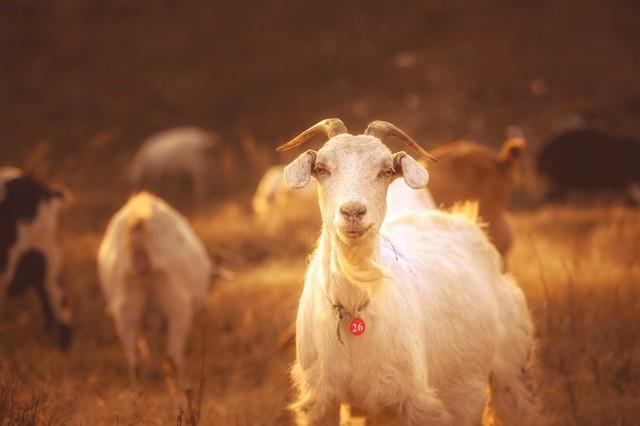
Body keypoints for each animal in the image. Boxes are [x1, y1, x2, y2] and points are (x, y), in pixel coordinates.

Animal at [280, 118, 536, 424]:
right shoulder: (321, 400)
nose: (353, 212)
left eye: (386, 170)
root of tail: (466, 221)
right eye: (321, 168)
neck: (353, 307)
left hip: (512, 370)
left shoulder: (415, 401)